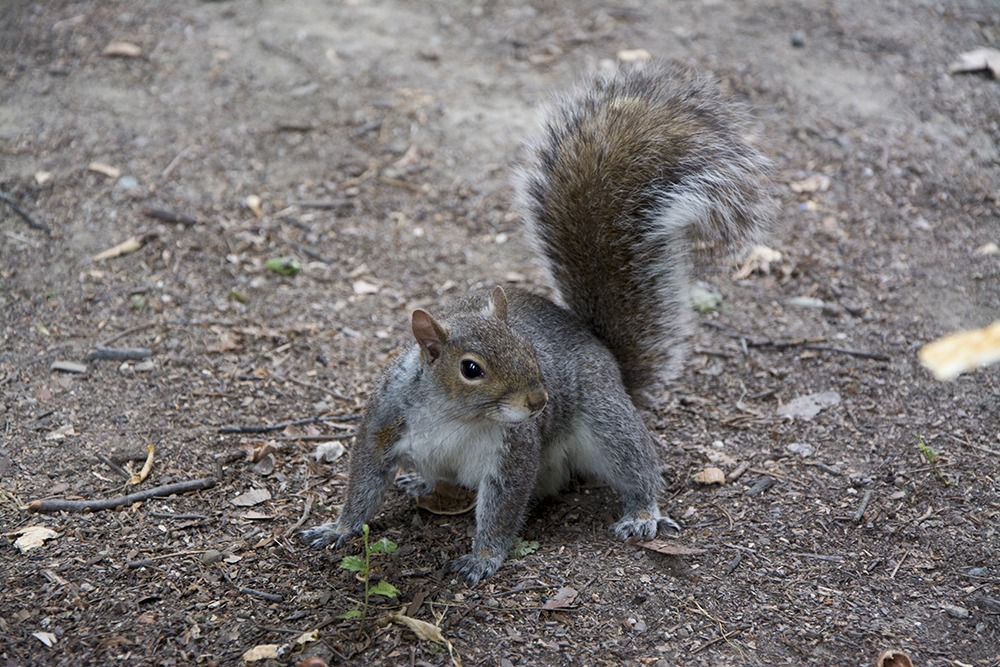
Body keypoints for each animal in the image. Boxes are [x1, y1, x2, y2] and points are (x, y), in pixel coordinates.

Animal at [301, 62, 773, 586]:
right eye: (471, 369)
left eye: (530, 350)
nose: (538, 402)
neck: (455, 416)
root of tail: (605, 354)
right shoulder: (383, 425)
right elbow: (363, 485)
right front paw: (337, 528)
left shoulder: (513, 452)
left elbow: (503, 508)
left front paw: (483, 558)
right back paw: (422, 482)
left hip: (606, 420)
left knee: (636, 464)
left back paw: (642, 512)